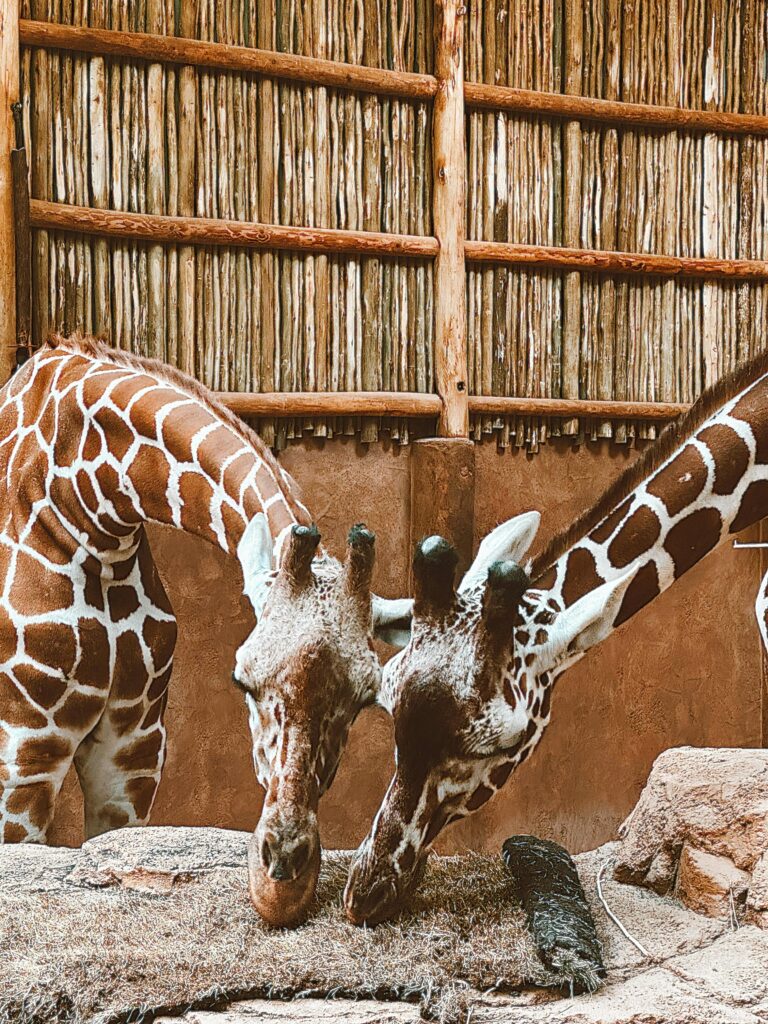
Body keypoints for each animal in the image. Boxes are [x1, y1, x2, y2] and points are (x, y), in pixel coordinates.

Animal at [0, 335, 410, 927]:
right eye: (243, 681)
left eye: (364, 699)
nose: (281, 874)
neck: (87, 510)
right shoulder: (25, 751)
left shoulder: (133, 748)